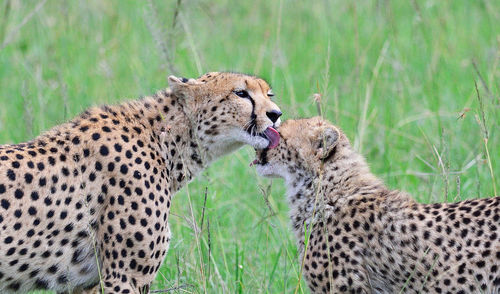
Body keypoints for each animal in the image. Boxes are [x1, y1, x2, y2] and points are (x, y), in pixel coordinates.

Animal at [0, 72, 282, 292]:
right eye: (241, 93)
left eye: (270, 94)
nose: (276, 114)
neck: (167, 141)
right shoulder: (124, 277)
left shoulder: (84, 283)